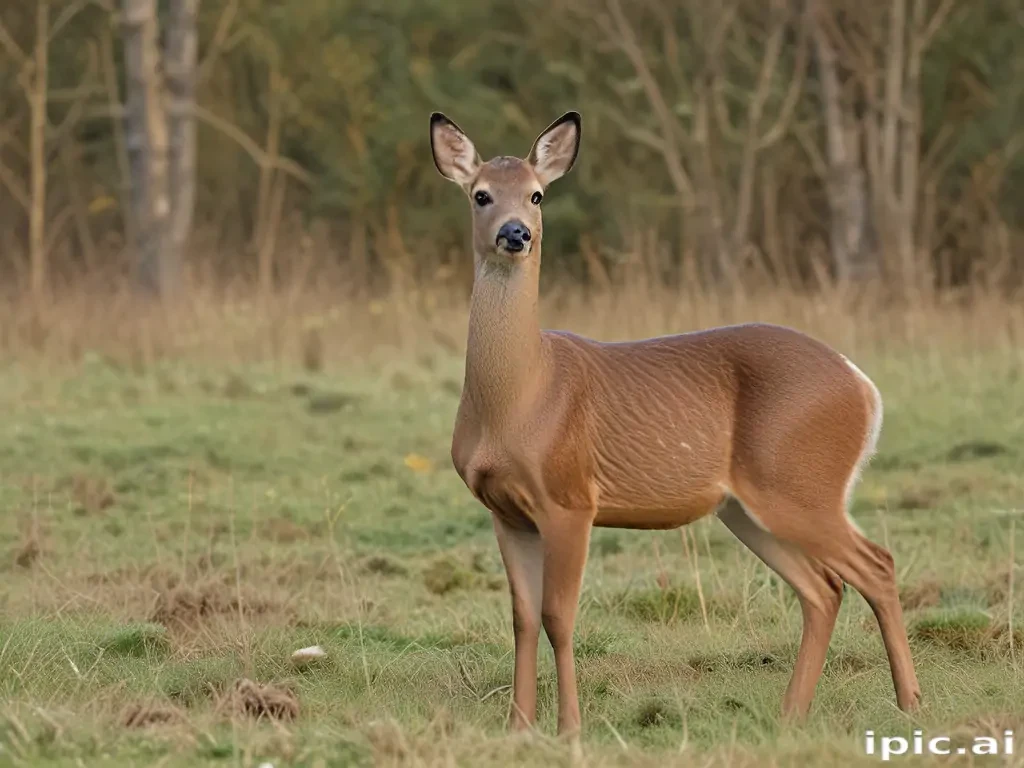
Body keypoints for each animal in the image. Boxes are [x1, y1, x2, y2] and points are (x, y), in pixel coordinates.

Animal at [429, 110, 921, 738]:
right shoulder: (506, 511)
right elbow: (521, 617)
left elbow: (558, 616)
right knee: (823, 588)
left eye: (537, 194)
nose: (516, 233)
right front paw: (519, 727)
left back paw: (909, 702)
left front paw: (570, 728)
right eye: (481, 194)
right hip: (747, 507)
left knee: (875, 565)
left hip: (800, 485)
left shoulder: (570, 499)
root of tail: (863, 386)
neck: (522, 396)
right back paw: (791, 714)